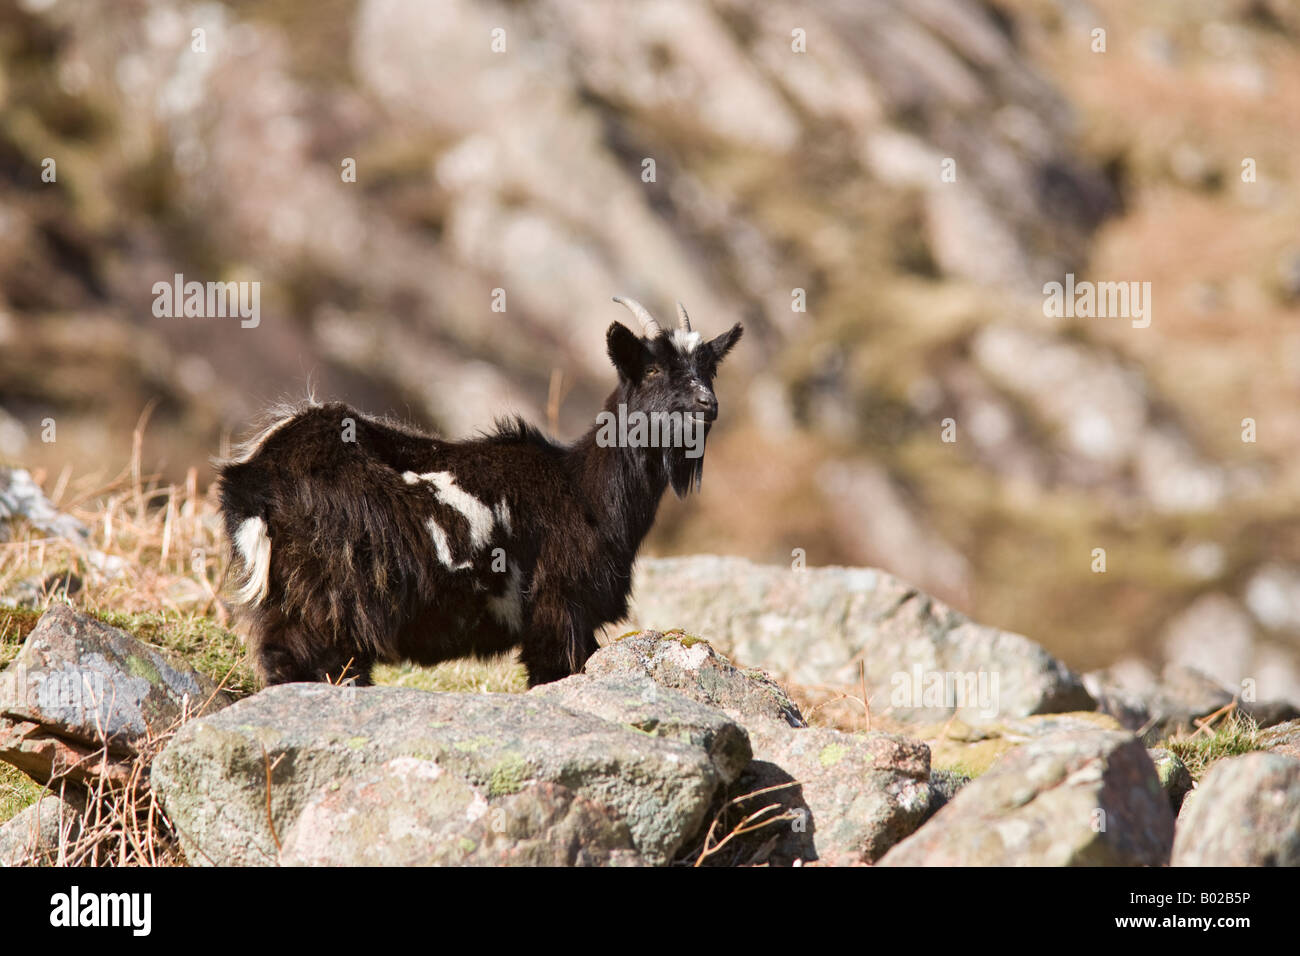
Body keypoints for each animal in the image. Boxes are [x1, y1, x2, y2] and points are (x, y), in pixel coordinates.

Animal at [215, 299, 743, 686]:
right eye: (651, 370)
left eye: (709, 369)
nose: (708, 404)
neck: (584, 490)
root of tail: (255, 476)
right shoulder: (560, 615)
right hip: (331, 607)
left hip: (286, 600)